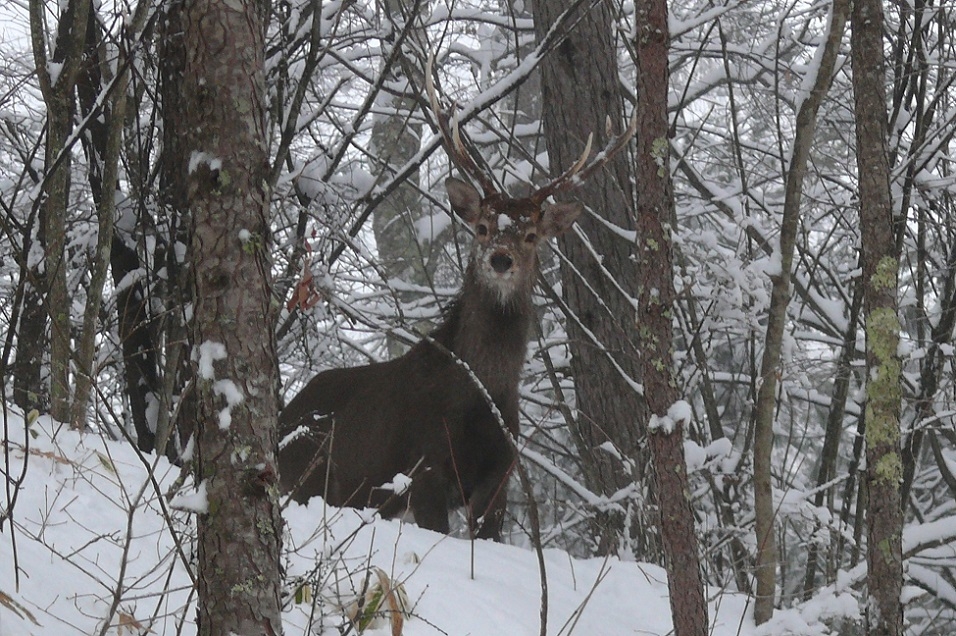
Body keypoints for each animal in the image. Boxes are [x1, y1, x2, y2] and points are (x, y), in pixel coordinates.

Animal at [276, 59, 636, 540]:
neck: (478, 400)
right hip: (312, 482)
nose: (500, 258)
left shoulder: (499, 477)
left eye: (531, 235)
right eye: (482, 227)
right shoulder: (424, 468)